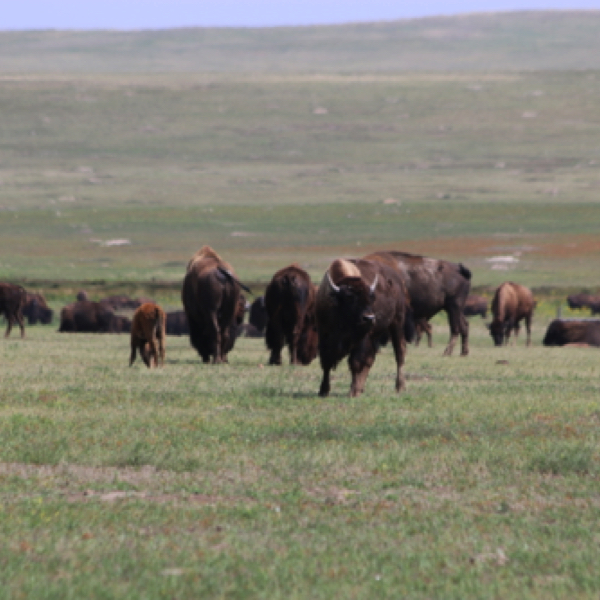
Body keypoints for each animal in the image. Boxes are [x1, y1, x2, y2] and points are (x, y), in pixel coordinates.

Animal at [316, 258, 414, 398]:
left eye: (371, 298)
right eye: (350, 298)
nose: (369, 318)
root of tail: (399, 281)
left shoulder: (362, 339)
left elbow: (356, 362)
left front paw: (353, 391)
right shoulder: (324, 335)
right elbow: (326, 362)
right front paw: (323, 390)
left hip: (397, 323)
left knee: (399, 353)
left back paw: (399, 386)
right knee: (370, 359)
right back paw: (362, 388)